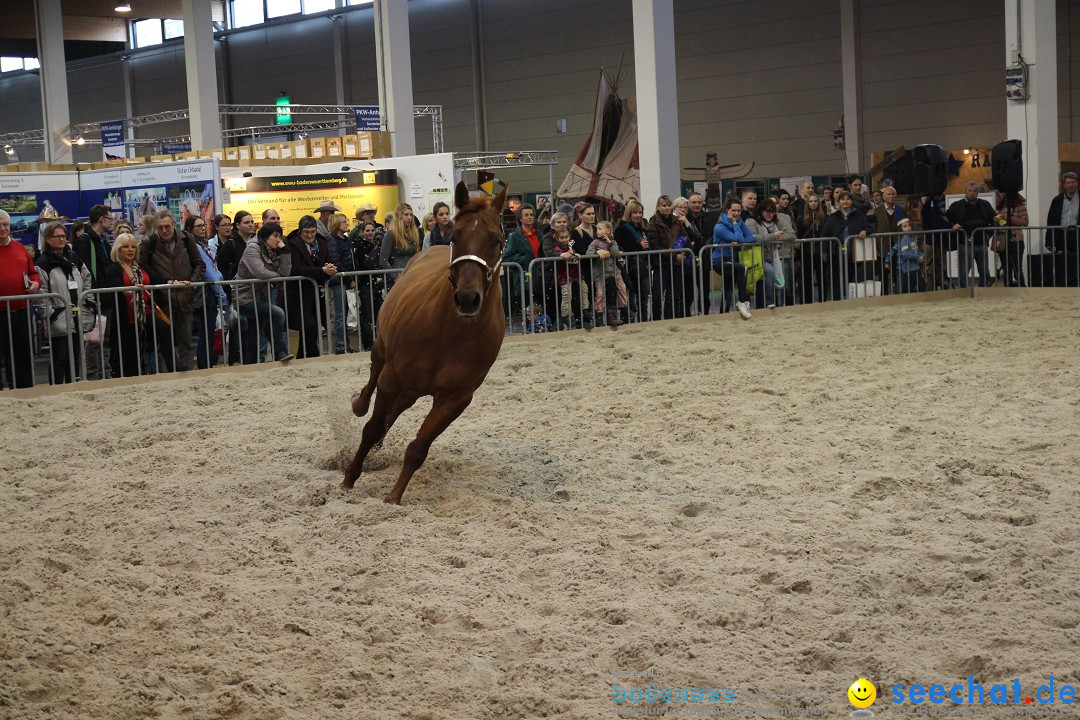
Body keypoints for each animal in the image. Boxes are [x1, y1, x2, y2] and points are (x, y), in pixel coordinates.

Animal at [343, 183, 507, 505]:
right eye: (455, 235)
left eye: (496, 239)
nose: (467, 298)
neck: (451, 331)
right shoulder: (392, 379)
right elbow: (370, 429)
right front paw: (348, 480)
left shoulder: (455, 399)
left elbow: (418, 449)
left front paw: (393, 497)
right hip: (382, 351)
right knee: (373, 379)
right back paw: (360, 405)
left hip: (414, 388)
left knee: (397, 410)